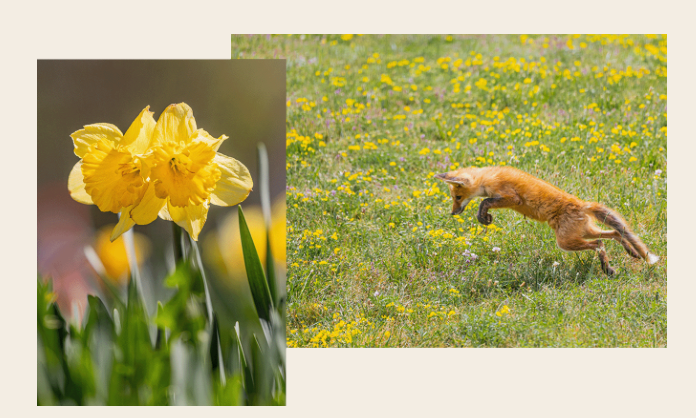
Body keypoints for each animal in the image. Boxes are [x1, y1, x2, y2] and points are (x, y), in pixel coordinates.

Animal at [434, 166, 659, 275]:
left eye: (457, 197)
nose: (453, 213)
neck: (487, 177)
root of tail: (581, 204)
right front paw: (484, 217)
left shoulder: (511, 197)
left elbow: (485, 202)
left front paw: (483, 216)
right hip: (582, 232)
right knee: (615, 233)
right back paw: (629, 254)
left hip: (566, 242)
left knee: (599, 243)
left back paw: (608, 268)